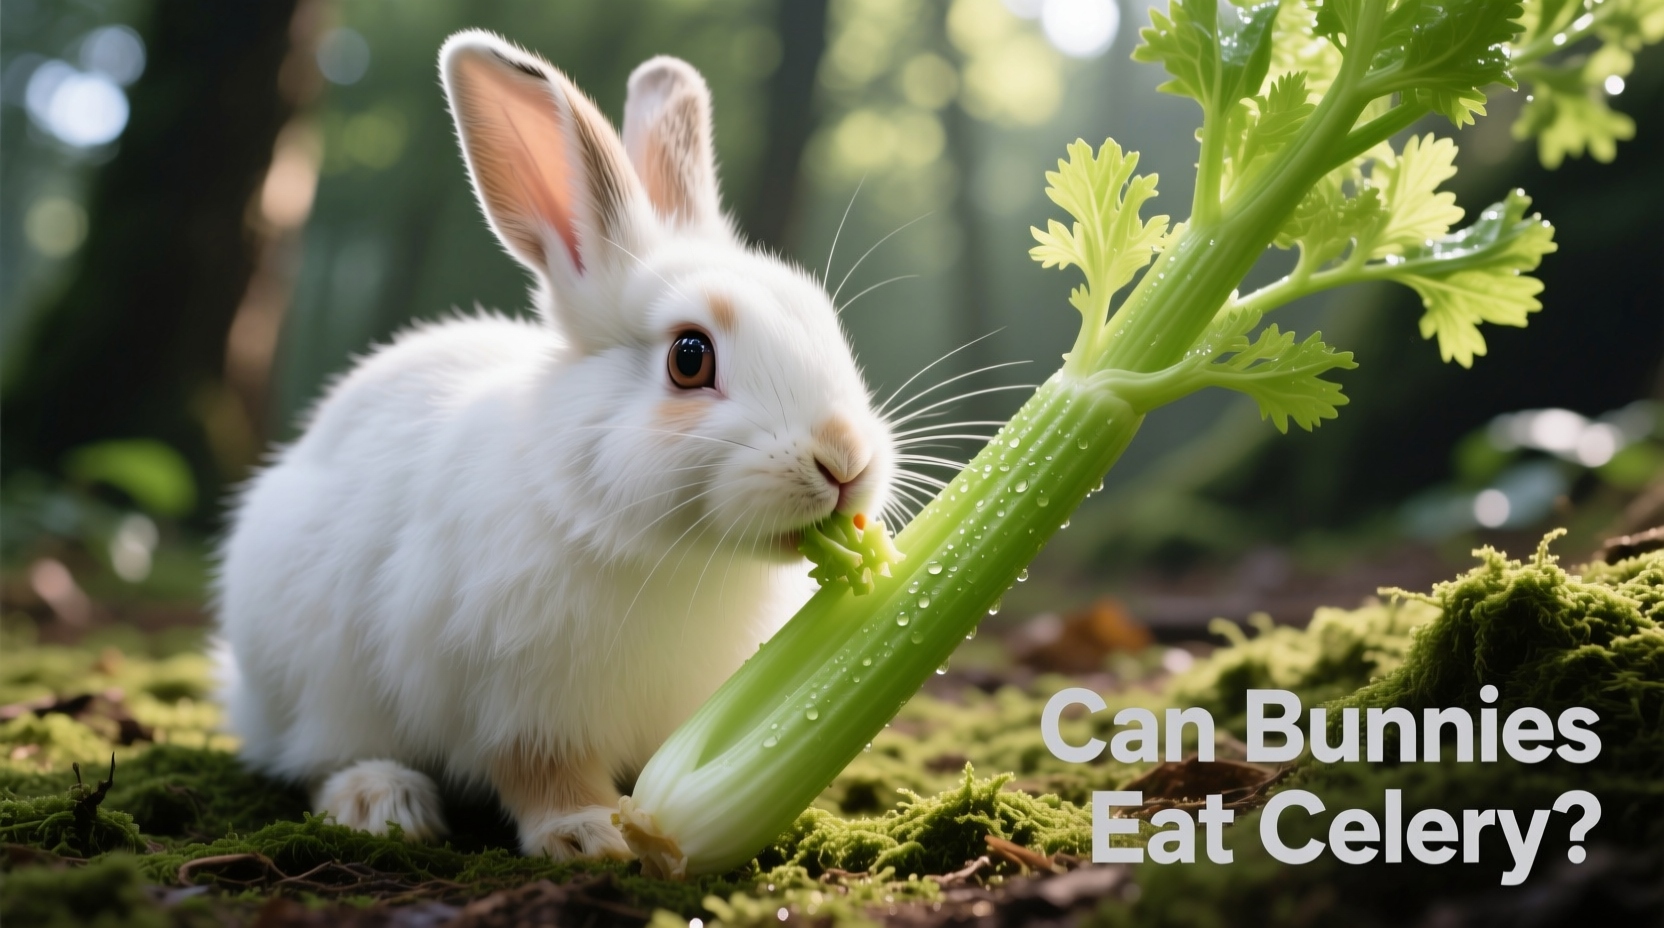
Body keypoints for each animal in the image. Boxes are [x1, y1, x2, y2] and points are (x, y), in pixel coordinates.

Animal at [214, 29, 895, 861]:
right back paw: (382, 801)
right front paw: (593, 835)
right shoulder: (518, 702)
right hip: (315, 672)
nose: (844, 460)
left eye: (823, 319)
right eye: (689, 357)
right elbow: (541, 770)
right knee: (317, 753)